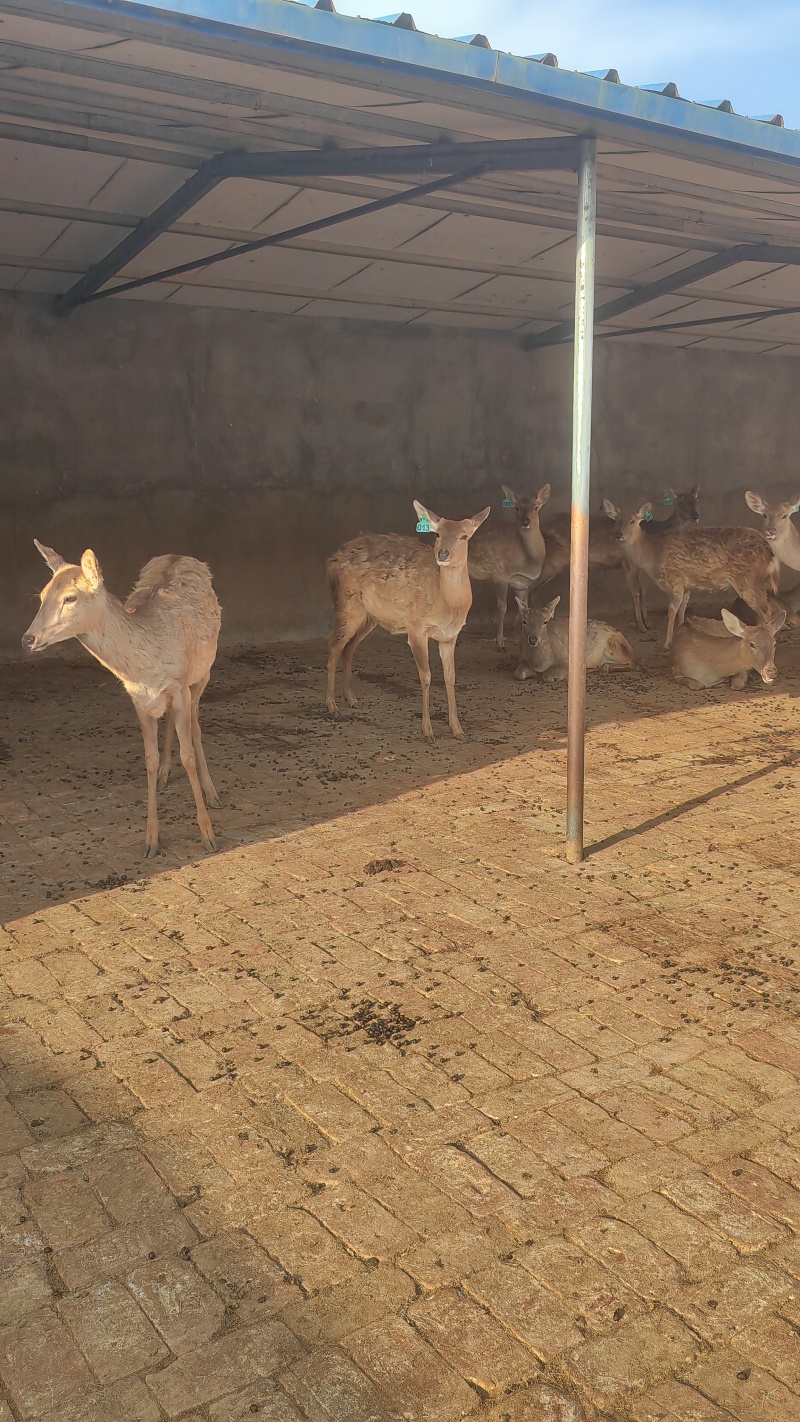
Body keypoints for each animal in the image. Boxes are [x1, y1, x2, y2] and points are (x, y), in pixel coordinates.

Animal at [22, 542, 221, 857]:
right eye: (42, 595)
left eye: (70, 597)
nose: (28, 639)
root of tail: (180, 555)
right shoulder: (139, 698)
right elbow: (149, 759)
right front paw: (151, 841)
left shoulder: (181, 686)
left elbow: (188, 754)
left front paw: (208, 835)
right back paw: (165, 775)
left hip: (203, 672)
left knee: (196, 726)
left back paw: (212, 793)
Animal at [326, 501, 490, 741]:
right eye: (437, 534)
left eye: (464, 536)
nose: (443, 553)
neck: (448, 606)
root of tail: (333, 560)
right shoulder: (417, 626)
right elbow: (426, 676)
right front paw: (428, 732)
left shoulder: (450, 635)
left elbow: (450, 677)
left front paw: (458, 730)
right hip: (347, 606)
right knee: (333, 647)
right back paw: (332, 706)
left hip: (370, 617)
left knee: (349, 647)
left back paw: (352, 699)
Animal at [467, 484, 550, 651]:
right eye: (516, 508)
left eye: (536, 507)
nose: (525, 521)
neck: (529, 561)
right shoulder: (500, 573)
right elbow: (502, 606)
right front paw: (500, 642)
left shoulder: (522, 583)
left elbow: (524, 607)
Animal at [537, 485, 700, 633]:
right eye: (681, 502)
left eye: (696, 500)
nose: (696, 516)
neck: (653, 532)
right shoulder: (629, 563)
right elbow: (636, 592)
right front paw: (642, 626)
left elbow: (643, 590)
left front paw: (647, 622)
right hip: (552, 561)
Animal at [603, 500, 779, 649]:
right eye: (616, 521)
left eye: (632, 521)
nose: (618, 535)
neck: (653, 557)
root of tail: (769, 552)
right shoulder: (687, 585)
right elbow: (682, 610)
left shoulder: (675, 579)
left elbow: (672, 610)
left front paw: (667, 643)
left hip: (747, 579)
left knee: (766, 609)